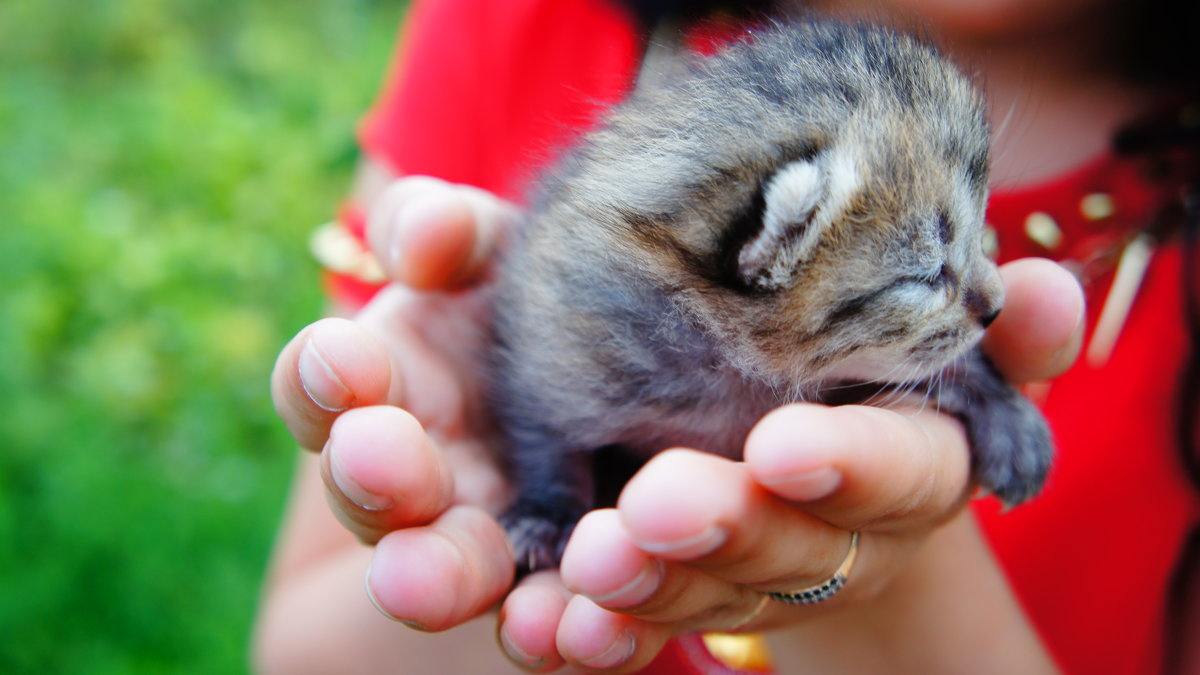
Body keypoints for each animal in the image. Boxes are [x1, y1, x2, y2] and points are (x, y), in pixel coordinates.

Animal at [487, 18, 1051, 569]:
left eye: (978, 236)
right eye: (925, 277)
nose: (998, 308)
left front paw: (1006, 413)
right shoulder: (553, 333)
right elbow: (541, 423)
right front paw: (546, 511)